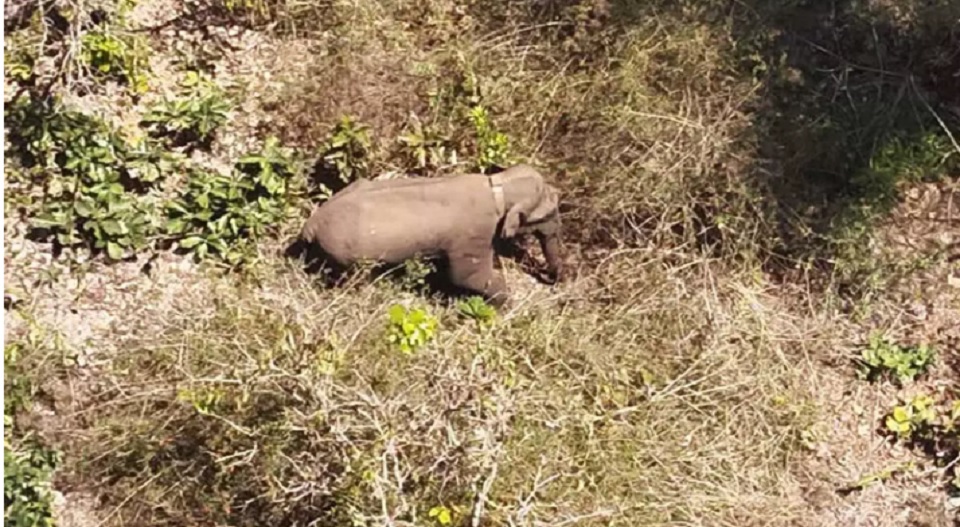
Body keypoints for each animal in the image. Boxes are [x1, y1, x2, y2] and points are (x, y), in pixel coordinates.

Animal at [292, 163, 564, 308]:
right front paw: (506, 303)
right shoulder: (474, 234)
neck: (497, 184)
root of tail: (311, 224)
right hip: (347, 256)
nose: (552, 279)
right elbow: (466, 277)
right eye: (550, 211)